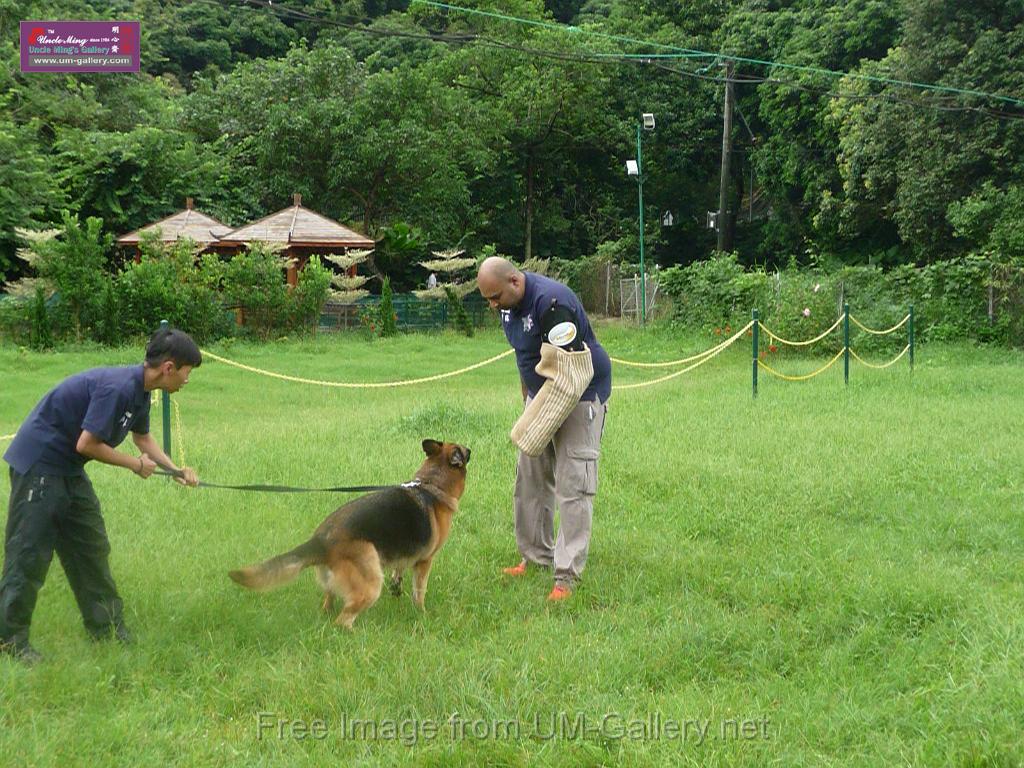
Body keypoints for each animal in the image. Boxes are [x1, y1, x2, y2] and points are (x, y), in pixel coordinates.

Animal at [229, 442, 471, 626]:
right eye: (464, 451)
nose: (470, 450)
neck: (430, 484)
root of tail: (320, 540)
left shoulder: (403, 553)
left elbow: (399, 570)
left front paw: (397, 585)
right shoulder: (425, 561)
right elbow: (419, 591)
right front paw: (421, 613)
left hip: (335, 583)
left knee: (329, 603)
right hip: (370, 583)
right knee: (343, 620)